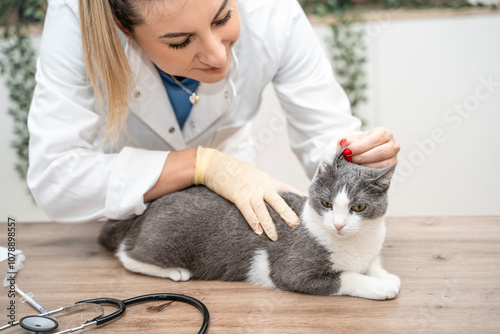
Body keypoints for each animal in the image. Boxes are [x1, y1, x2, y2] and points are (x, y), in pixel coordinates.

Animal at [99, 151, 400, 300]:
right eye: (326, 203)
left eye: (358, 207)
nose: (338, 225)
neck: (357, 243)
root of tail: (149, 206)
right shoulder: (293, 271)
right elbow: (346, 277)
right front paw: (381, 286)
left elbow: (372, 264)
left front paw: (386, 276)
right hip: (167, 238)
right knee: (128, 255)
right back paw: (175, 271)